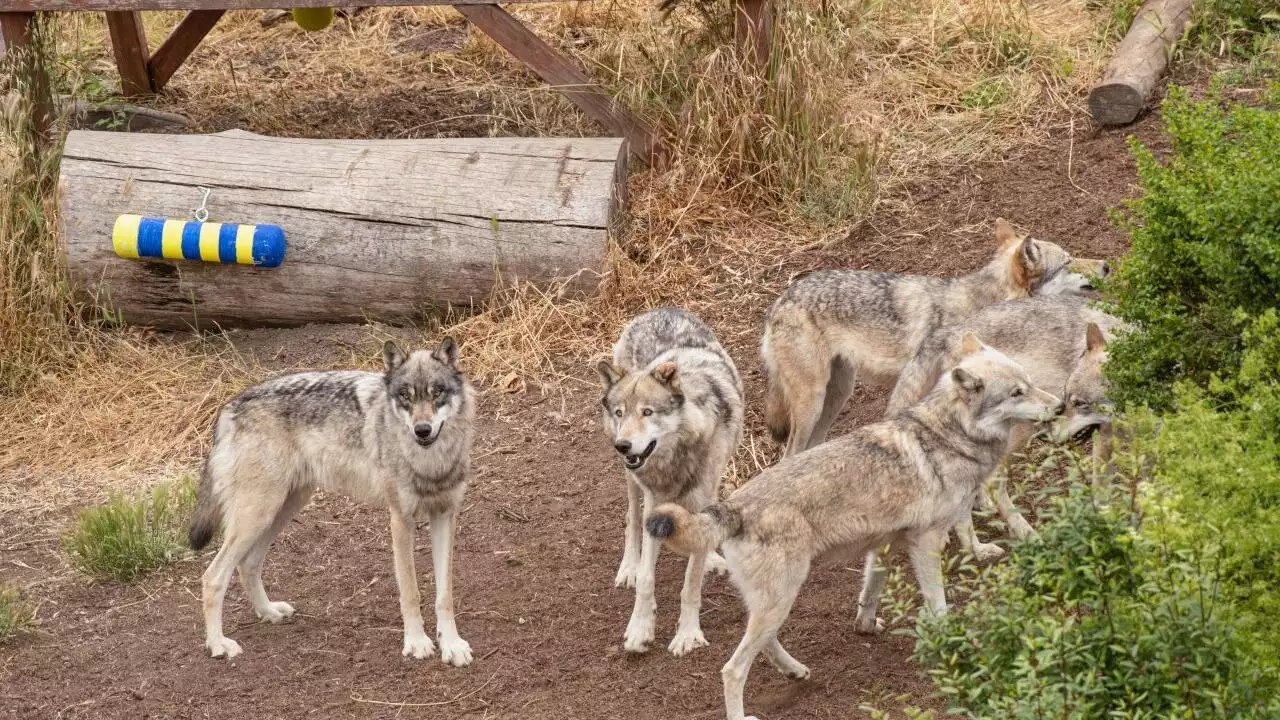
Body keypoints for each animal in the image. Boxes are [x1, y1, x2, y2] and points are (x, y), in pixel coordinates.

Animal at [186, 338, 473, 666]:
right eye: (405, 396)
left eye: (437, 392)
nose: (422, 430)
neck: (430, 463)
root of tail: (228, 407)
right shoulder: (401, 520)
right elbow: (410, 592)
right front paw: (416, 643)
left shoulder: (445, 515)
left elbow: (444, 595)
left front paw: (451, 645)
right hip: (258, 515)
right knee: (212, 577)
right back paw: (218, 644)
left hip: (282, 509)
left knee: (248, 565)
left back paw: (269, 612)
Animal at [593, 304, 747, 653]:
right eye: (620, 413)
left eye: (648, 412)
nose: (623, 445)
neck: (675, 459)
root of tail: (661, 309)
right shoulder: (654, 505)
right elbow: (647, 580)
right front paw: (639, 628)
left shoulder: (700, 498)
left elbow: (691, 585)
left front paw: (687, 634)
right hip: (631, 482)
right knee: (631, 519)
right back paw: (629, 567)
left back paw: (712, 557)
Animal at [650, 335, 1059, 717]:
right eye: (1017, 392)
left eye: (1028, 382)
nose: (1059, 405)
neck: (948, 435)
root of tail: (731, 507)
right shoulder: (927, 542)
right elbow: (939, 603)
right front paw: (951, 642)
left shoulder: (887, 544)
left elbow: (871, 589)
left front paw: (865, 624)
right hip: (781, 598)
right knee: (732, 670)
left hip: (773, 603)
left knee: (763, 645)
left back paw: (795, 670)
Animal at [757, 215, 1100, 456]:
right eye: (1068, 262)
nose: (1107, 266)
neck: (983, 302)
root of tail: (781, 300)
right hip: (813, 402)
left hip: (837, 396)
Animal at [890, 294, 1121, 558]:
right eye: (1071, 399)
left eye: (1081, 404)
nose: (1047, 434)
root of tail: (952, 330)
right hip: (1018, 433)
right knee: (993, 485)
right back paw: (1023, 534)